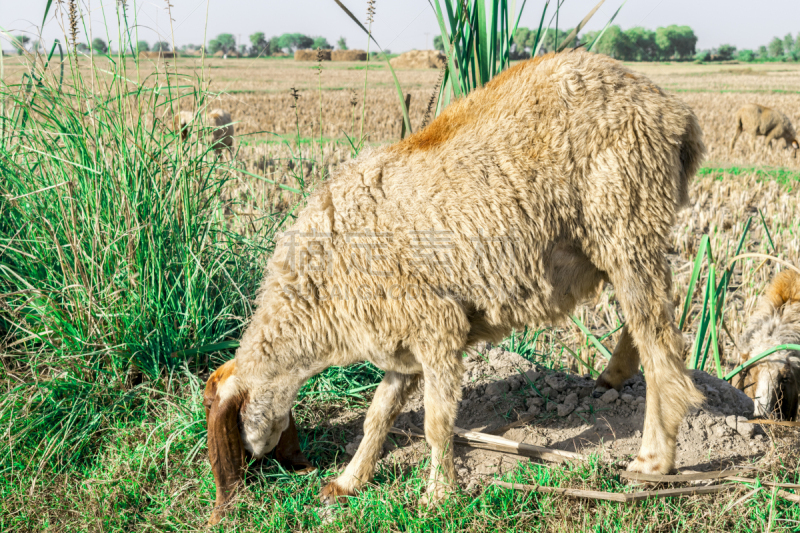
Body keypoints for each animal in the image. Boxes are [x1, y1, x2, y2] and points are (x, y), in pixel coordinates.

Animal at [205, 47, 708, 520]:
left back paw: (653, 459)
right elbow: (377, 415)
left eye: (220, 414)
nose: (257, 463)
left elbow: (436, 422)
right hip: (619, 239)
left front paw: (438, 495)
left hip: (626, 218)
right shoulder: (402, 346)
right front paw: (348, 481)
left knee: (662, 345)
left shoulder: (439, 326)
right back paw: (613, 375)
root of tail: (673, 111)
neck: (315, 301)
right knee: (645, 320)